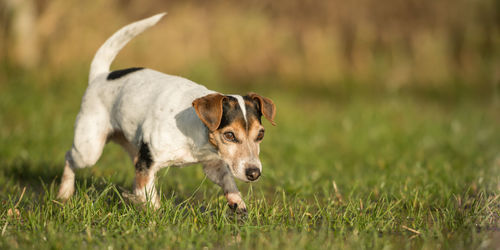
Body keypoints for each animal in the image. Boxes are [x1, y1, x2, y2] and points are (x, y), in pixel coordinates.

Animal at [58, 13, 278, 213]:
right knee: (69, 157)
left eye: (261, 134)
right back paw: (64, 193)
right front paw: (154, 215)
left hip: (130, 149)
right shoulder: (148, 163)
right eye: (230, 135)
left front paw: (237, 202)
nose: (254, 173)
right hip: (89, 150)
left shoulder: (213, 165)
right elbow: (149, 196)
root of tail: (101, 75)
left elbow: (227, 180)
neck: (195, 132)